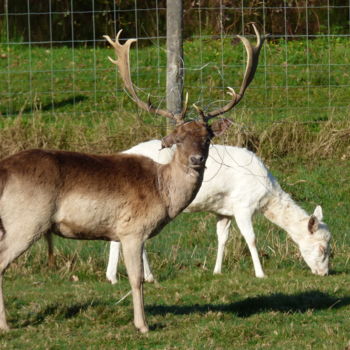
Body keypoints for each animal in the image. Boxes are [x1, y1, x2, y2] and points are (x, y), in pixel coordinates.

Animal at [0, 25, 264, 334]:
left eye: (207, 137)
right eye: (177, 138)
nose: (196, 159)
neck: (162, 191)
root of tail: (4, 171)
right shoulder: (131, 229)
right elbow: (137, 279)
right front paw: (142, 325)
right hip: (27, 220)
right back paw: (6, 325)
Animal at [106, 139, 330, 282]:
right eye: (322, 248)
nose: (324, 273)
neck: (265, 195)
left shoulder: (224, 211)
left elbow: (222, 238)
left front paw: (217, 271)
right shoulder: (243, 205)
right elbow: (251, 238)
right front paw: (260, 273)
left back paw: (134, 276)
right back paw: (123, 277)